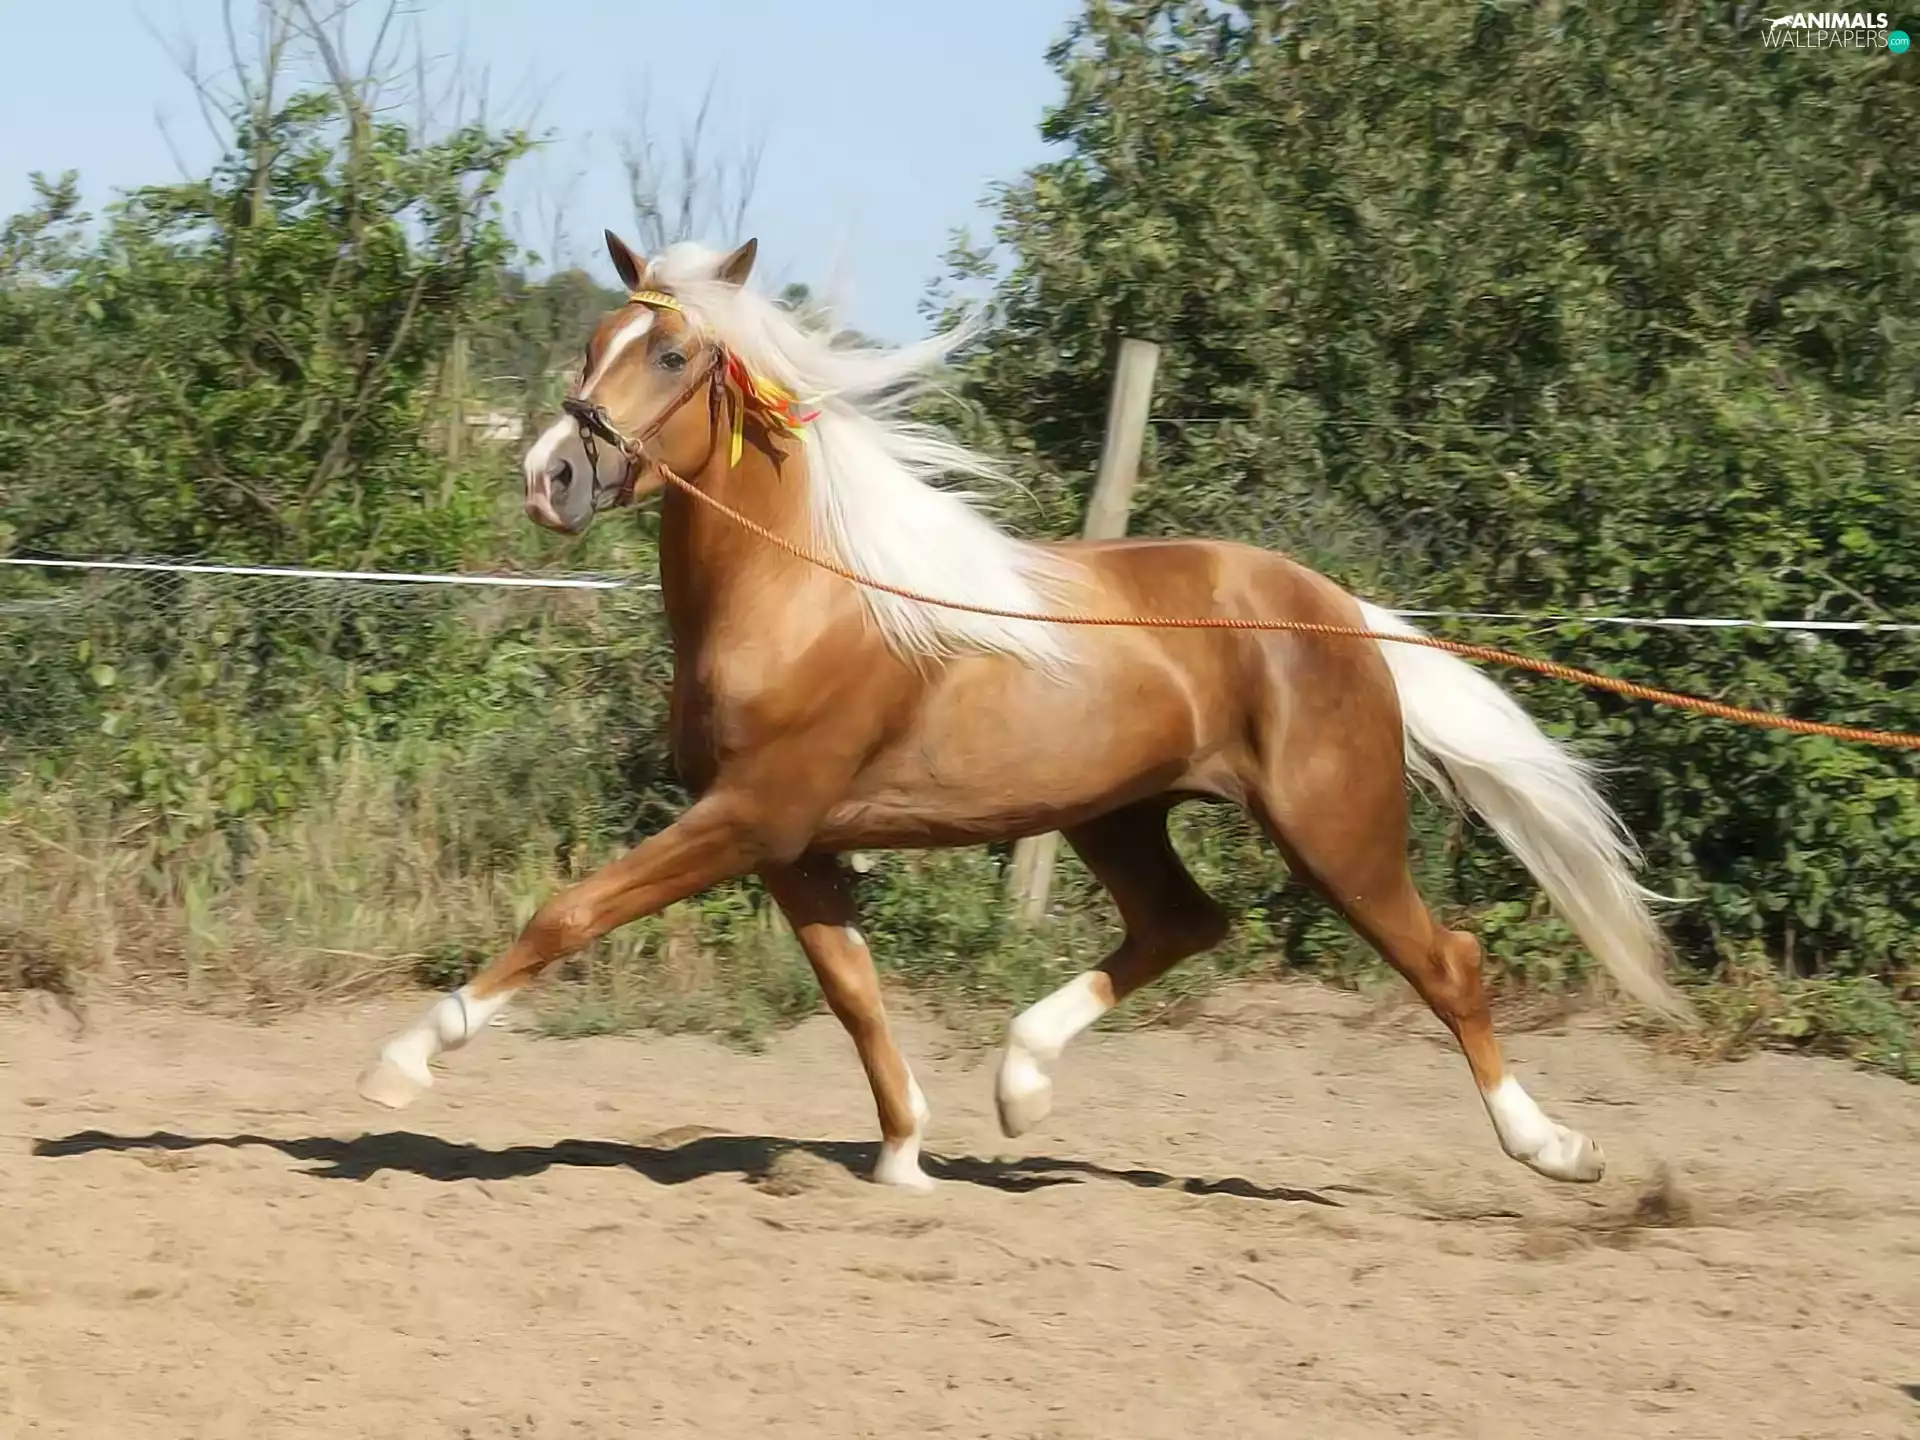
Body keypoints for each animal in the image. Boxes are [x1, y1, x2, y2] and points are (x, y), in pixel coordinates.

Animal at [356, 230, 1690, 1193]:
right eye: (594, 338)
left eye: (674, 358)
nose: (550, 476)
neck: (807, 594)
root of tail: (1340, 613)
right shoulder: (794, 845)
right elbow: (855, 995)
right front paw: (906, 1156)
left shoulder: (750, 817)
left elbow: (568, 912)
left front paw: (408, 1059)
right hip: (1120, 815)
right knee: (1183, 924)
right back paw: (1021, 1085)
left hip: (1334, 829)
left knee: (1446, 963)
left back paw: (1557, 1153)